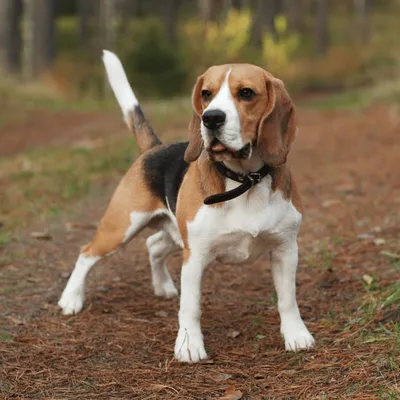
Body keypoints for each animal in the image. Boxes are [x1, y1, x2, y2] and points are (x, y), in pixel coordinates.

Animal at [58, 50, 316, 362]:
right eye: (206, 94)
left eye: (246, 93)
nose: (211, 118)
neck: (245, 181)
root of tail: (154, 148)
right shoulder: (195, 256)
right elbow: (191, 306)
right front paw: (189, 345)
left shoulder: (285, 249)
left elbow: (288, 299)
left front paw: (296, 335)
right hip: (121, 228)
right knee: (86, 253)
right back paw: (71, 299)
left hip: (174, 232)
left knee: (154, 245)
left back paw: (163, 287)